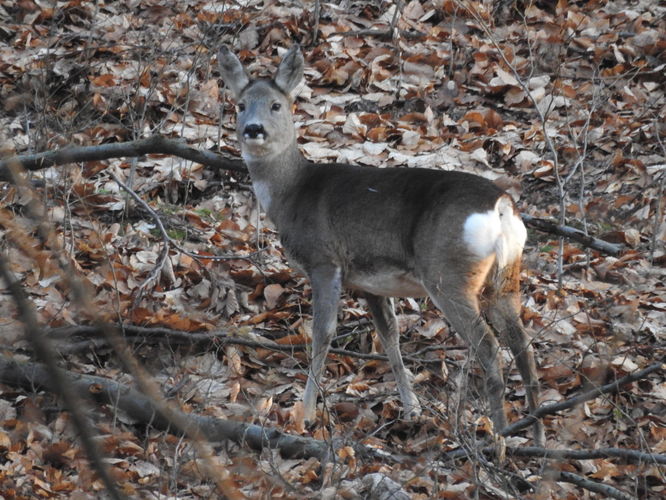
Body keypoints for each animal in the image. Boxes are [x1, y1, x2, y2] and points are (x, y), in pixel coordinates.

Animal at [218, 44, 544, 446]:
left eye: (276, 105)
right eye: (240, 104)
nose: (253, 129)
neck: (292, 192)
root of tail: (501, 208)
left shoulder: (324, 260)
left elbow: (322, 334)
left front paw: (305, 415)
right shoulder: (371, 282)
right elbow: (390, 336)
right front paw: (412, 409)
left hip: (448, 275)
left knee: (488, 344)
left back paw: (498, 439)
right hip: (505, 276)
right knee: (523, 344)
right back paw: (537, 438)